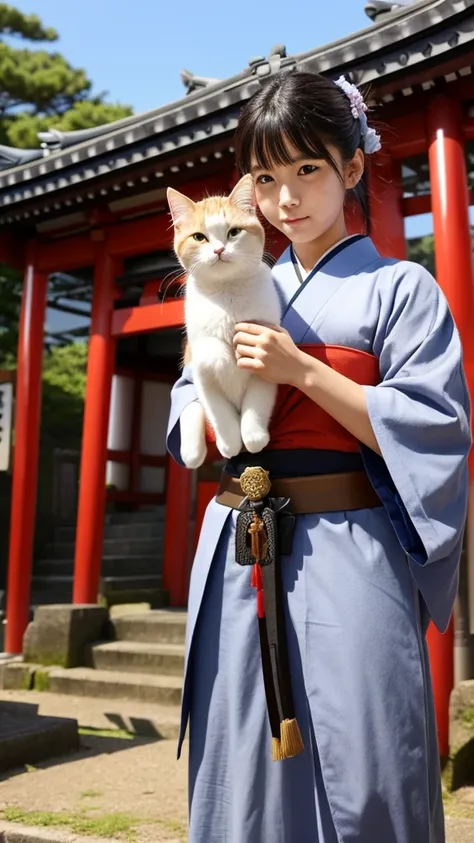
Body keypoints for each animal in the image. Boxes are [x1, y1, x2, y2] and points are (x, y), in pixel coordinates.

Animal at [168, 176, 282, 472]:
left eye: (234, 232)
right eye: (199, 237)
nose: (219, 249)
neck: (228, 294)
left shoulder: (265, 356)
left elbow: (257, 401)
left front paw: (253, 436)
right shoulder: (202, 369)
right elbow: (218, 411)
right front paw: (230, 442)